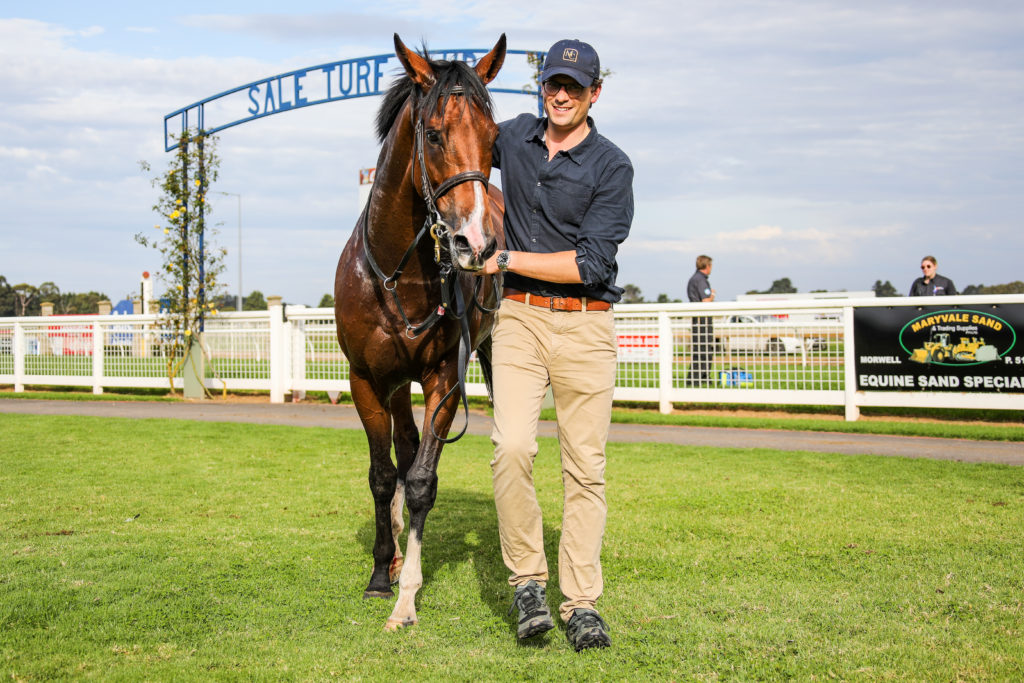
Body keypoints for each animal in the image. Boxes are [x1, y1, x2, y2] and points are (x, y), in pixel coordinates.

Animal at [334, 34, 507, 631]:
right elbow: (383, 475)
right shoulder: (366, 380)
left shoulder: (442, 380)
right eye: (433, 134)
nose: (475, 244)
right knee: (401, 451)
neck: (399, 274)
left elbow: (422, 482)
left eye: (494, 138)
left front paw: (407, 596)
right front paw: (380, 575)